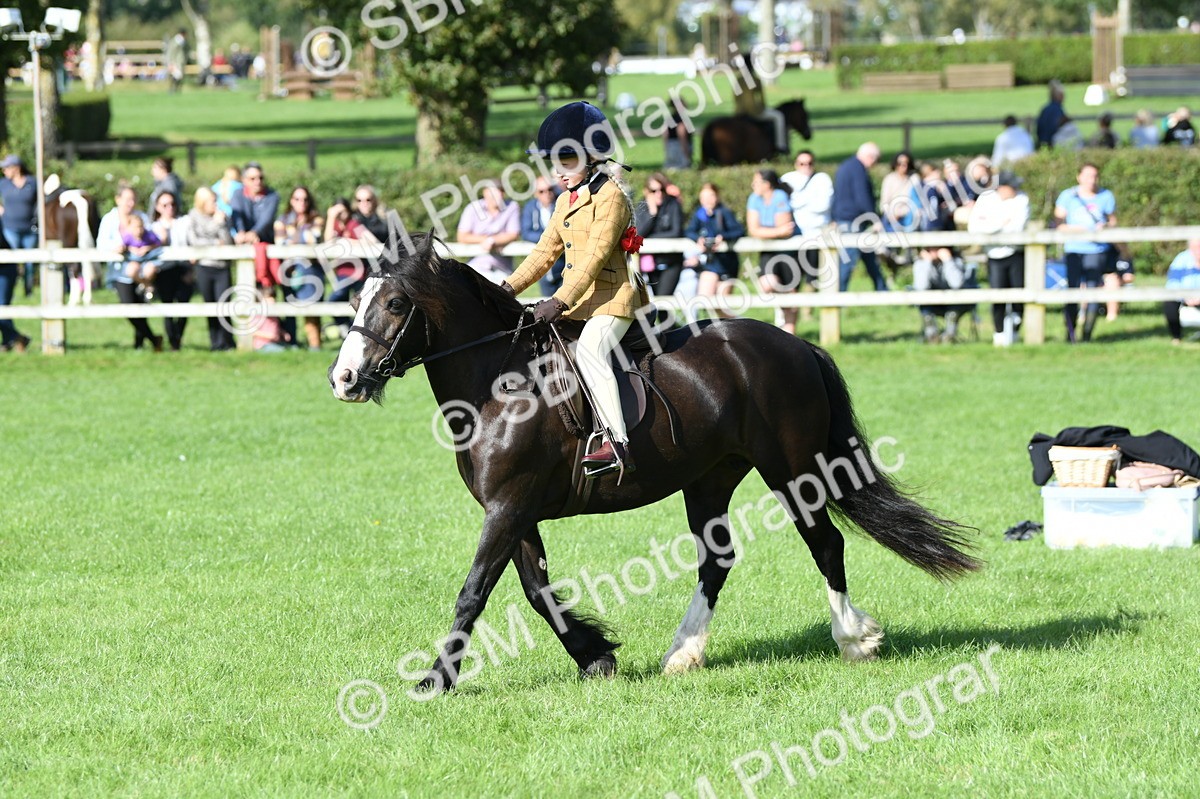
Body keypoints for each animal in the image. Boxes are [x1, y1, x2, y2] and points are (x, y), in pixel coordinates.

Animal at [328, 234, 978, 694]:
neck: (498, 382)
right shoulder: (515, 512)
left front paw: (435, 681)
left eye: (394, 303)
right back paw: (683, 654)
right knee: (717, 559)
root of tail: (795, 344)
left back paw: (853, 639)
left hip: (794, 470)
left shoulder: (507, 507)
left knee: (824, 543)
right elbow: (537, 591)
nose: (344, 380)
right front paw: (595, 656)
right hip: (710, 478)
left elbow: (473, 593)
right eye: (357, 299)